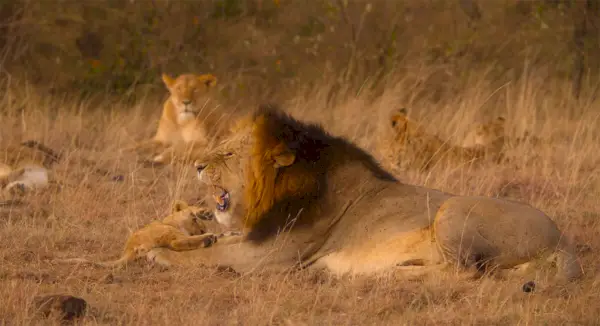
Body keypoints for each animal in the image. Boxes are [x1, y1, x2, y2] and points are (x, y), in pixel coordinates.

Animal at [55, 200, 243, 268]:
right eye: (196, 223)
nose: (202, 230)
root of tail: (129, 248)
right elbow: (188, 207)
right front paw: (204, 213)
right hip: (167, 232)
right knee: (177, 243)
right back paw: (208, 238)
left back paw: (210, 238)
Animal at [145, 105, 580, 286]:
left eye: (230, 154)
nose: (197, 165)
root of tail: (562, 241)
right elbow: (211, 243)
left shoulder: (268, 257)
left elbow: (208, 258)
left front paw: (156, 254)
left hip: (452, 208)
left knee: (466, 272)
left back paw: (387, 273)